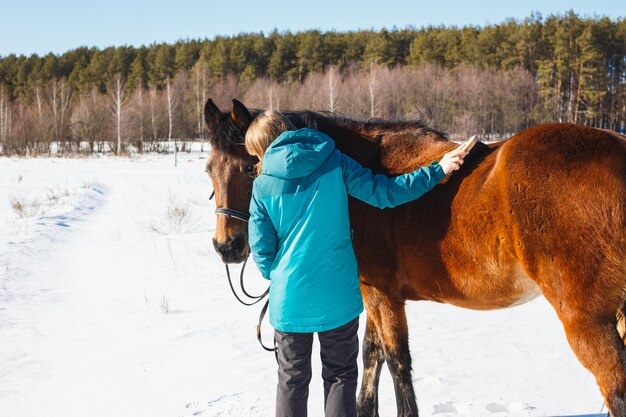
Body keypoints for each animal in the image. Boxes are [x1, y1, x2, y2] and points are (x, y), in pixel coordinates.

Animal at [204, 98, 624, 416]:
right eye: (209, 169)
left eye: (251, 166)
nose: (227, 246)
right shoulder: (373, 295)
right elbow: (370, 358)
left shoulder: (381, 296)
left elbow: (396, 363)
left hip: (585, 319)